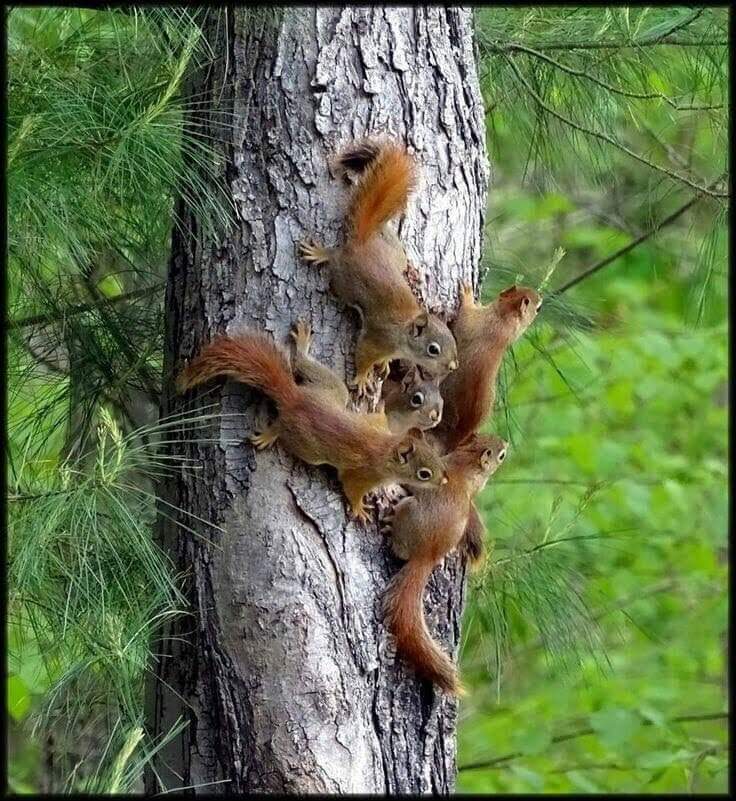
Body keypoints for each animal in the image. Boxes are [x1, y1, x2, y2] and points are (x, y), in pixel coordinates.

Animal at [176, 327, 449, 522]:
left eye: (436, 457)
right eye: (424, 474)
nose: (444, 481)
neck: (387, 448)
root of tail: (295, 397)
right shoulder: (363, 474)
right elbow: (351, 488)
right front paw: (359, 510)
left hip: (332, 388)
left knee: (302, 364)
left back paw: (303, 345)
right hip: (308, 446)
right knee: (282, 426)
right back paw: (269, 434)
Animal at [299, 140, 458, 393]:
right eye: (433, 349)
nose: (453, 366)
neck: (404, 333)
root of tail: (363, 241)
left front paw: (383, 364)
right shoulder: (378, 338)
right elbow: (364, 354)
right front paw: (363, 377)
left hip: (396, 255)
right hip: (343, 281)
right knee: (335, 260)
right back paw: (322, 254)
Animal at [432, 282, 542, 452]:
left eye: (538, 308)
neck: (507, 323)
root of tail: (463, 431)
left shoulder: (479, 322)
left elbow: (464, 320)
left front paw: (468, 295)